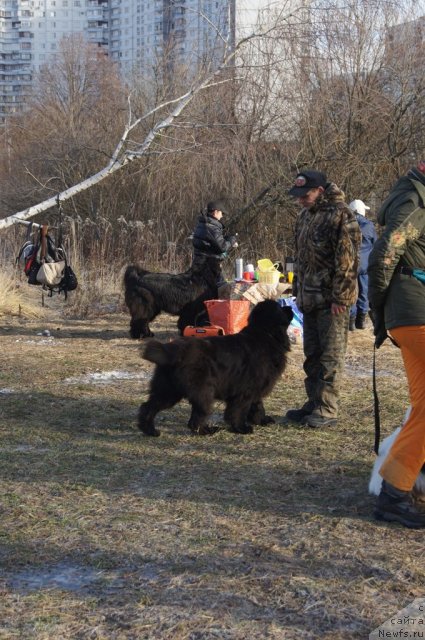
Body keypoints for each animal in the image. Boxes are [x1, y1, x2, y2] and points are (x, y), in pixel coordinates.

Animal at [137, 300, 294, 436]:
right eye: (280, 307)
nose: (290, 307)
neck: (266, 334)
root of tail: (174, 351)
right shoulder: (245, 391)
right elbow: (239, 410)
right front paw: (241, 428)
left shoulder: (256, 387)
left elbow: (258, 406)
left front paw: (262, 420)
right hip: (203, 391)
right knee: (197, 417)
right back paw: (207, 431)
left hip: (168, 390)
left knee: (148, 407)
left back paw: (150, 430)